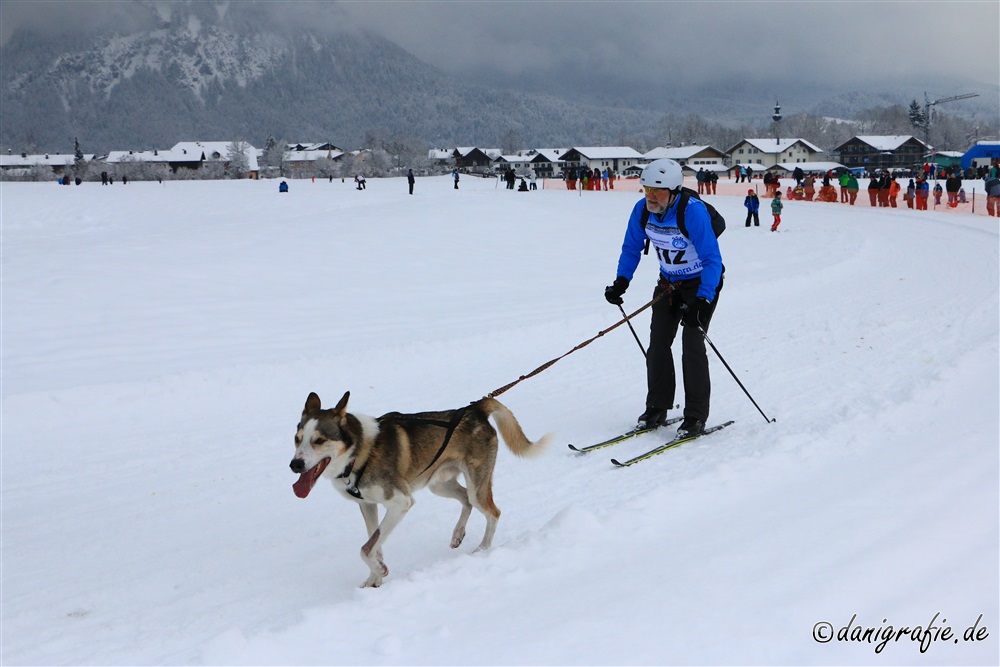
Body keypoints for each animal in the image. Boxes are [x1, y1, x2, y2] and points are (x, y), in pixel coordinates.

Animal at [290, 392, 552, 588]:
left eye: (319, 440)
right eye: (297, 438)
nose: (295, 465)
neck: (360, 452)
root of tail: (474, 409)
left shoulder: (401, 503)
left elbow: (366, 549)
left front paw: (379, 570)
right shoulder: (368, 504)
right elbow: (375, 543)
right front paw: (375, 576)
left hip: (476, 486)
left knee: (492, 512)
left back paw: (481, 550)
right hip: (439, 484)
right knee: (465, 501)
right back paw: (457, 534)